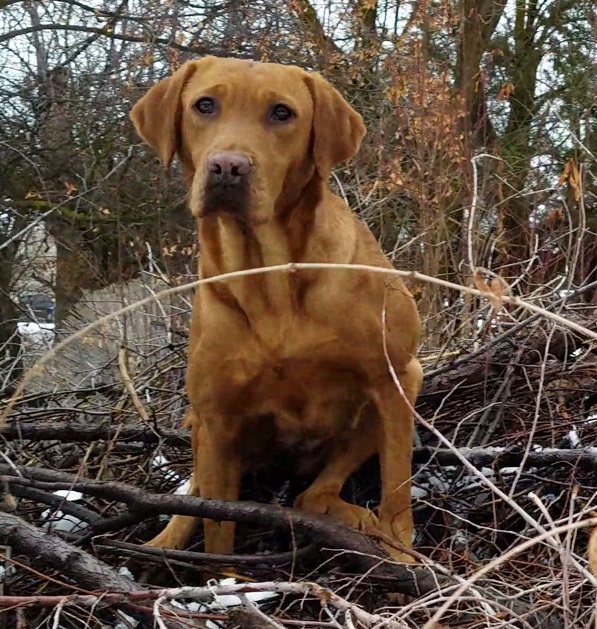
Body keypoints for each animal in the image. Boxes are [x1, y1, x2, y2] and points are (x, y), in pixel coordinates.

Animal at [129, 56, 424, 560]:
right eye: (204, 105)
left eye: (282, 113)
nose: (227, 167)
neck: (269, 277)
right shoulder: (218, 419)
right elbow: (218, 536)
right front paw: (220, 576)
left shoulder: (394, 377)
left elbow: (397, 488)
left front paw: (403, 552)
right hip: (205, 430)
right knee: (202, 494)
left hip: (403, 386)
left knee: (314, 493)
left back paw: (354, 518)